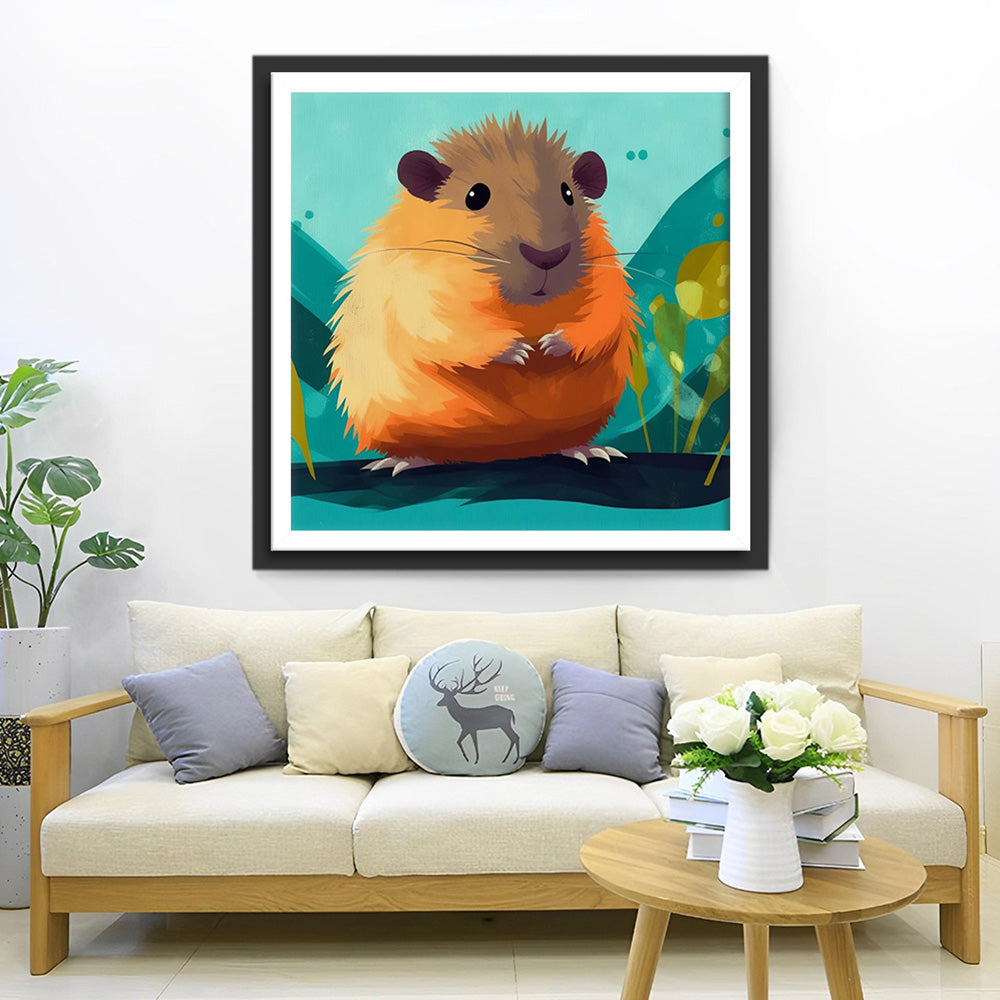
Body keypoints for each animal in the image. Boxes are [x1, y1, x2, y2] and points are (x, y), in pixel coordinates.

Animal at [326, 112, 638, 472]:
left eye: (568, 194)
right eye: (475, 196)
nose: (548, 257)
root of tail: (495, 453)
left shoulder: (606, 274)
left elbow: (602, 319)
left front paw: (553, 344)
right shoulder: (416, 286)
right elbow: (448, 328)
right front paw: (519, 350)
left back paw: (589, 450)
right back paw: (401, 462)